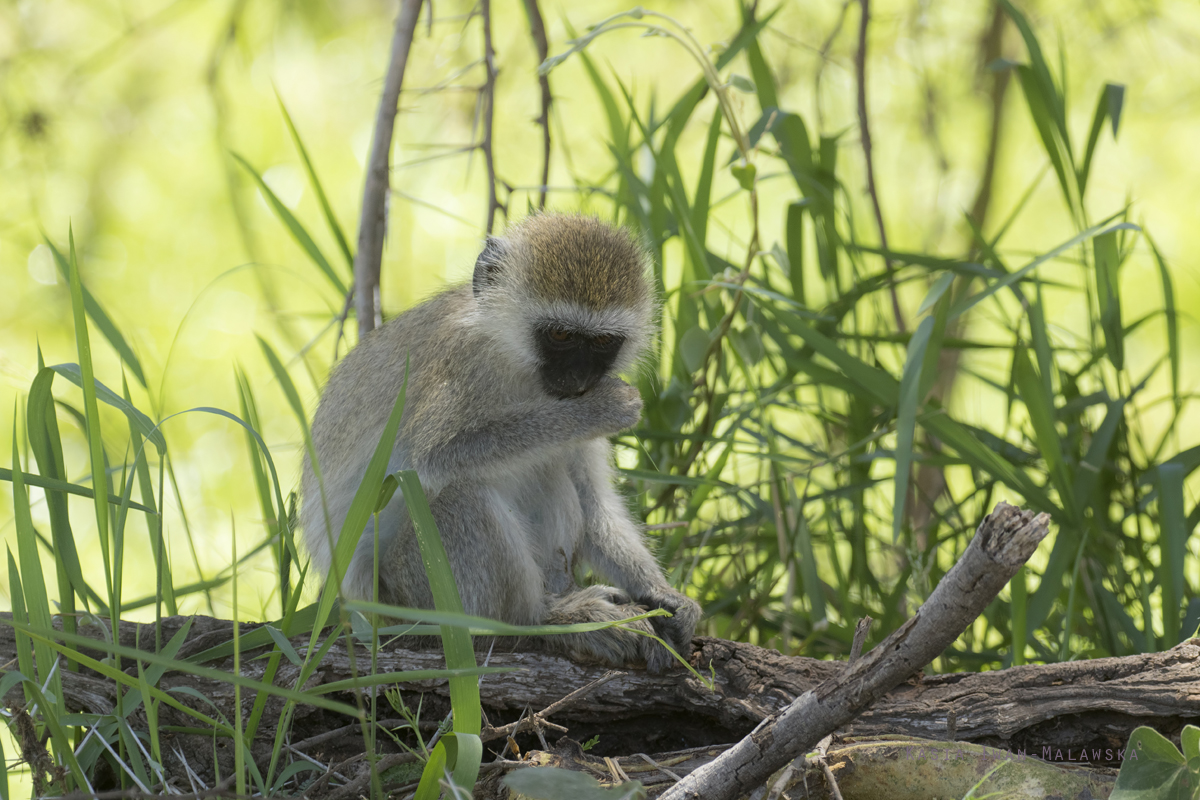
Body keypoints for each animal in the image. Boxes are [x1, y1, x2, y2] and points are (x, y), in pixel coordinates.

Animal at [302, 211, 700, 671]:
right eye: (560, 336)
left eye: (602, 341)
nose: (579, 379)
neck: (518, 365)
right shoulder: (465, 363)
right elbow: (432, 458)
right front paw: (596, 411)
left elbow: (592, 498)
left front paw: (663, 595)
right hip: (413, 592)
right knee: (464, 497)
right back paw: (546, 619)